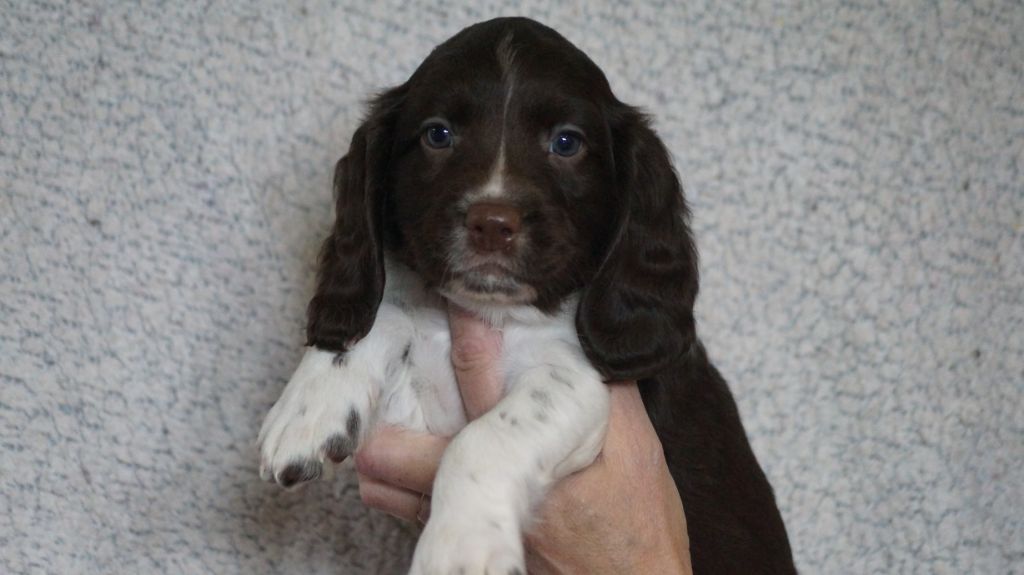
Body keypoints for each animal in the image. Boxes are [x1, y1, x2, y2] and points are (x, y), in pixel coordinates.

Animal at [258, 17, 798, 572]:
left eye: (566, 142)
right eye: (438, 134)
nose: (492, 224)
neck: (492, 312)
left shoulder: (578, 384)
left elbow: (484, 438)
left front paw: (462, 545)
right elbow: (387, 309)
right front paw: (309, 409)